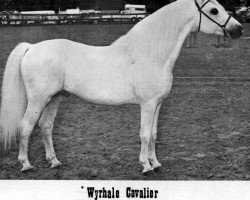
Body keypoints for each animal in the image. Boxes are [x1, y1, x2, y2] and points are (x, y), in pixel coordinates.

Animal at [0, 0, 242, 173]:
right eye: (213, 10)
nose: (238, 30)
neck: (150, 54)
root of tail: (31, 47)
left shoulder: (158, 104)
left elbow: (154, 134)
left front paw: (155, 163)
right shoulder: (147, 104)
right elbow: (145, 134)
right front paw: (145, 166)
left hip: (55, 98)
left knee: (46, 126)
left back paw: (54, 161)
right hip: (38, 99)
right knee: (26, 126)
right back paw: (26, 164)